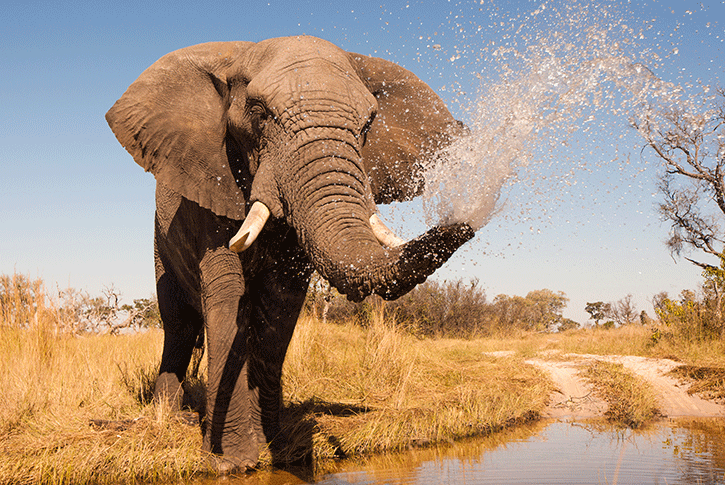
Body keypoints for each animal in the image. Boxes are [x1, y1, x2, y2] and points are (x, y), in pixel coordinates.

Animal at [104, 35, 472, 472]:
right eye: (259, 114)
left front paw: (277, 446)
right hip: (161, 241)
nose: (467, 220)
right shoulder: (211, 181)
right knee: (177, 322)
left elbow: (280, 303)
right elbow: (227, 294)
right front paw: (232, 462)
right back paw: (170, 415)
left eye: (368, 124)